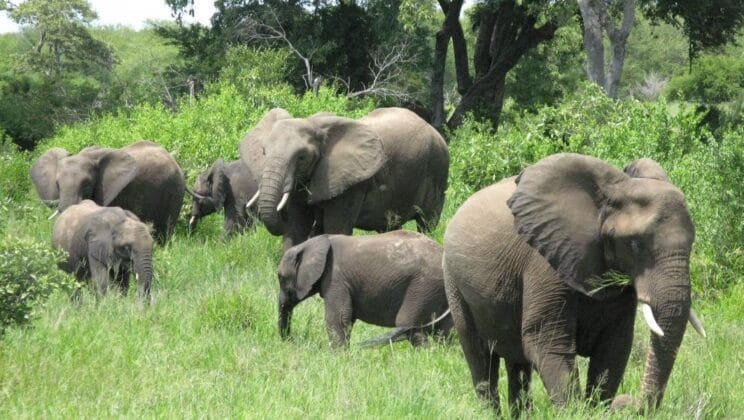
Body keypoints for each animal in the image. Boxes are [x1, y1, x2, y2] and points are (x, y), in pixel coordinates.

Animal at [241, 107, 449, 250]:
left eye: (302, 157)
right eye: (263, 152)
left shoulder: (351, 184)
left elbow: (335, 229)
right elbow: (297, 227)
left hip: (438, 170)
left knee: (426, 223)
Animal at [277, 230, 452, 347]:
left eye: (280, 277)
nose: (291, 341)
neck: (312, 243)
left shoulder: (336, 278)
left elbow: (338, 318)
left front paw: (338, 357)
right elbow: (347, 318)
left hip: (424, 286)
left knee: (408, 324)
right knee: (444, 329)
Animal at [442, 153, 706, 415]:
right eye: (634, 244)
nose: (627, 403)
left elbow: (614, 348)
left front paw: (596, 410)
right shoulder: (546, 261)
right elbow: (547, 342)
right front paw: (575, 412)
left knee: (517, 364)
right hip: (453, 280)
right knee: (479, 356)